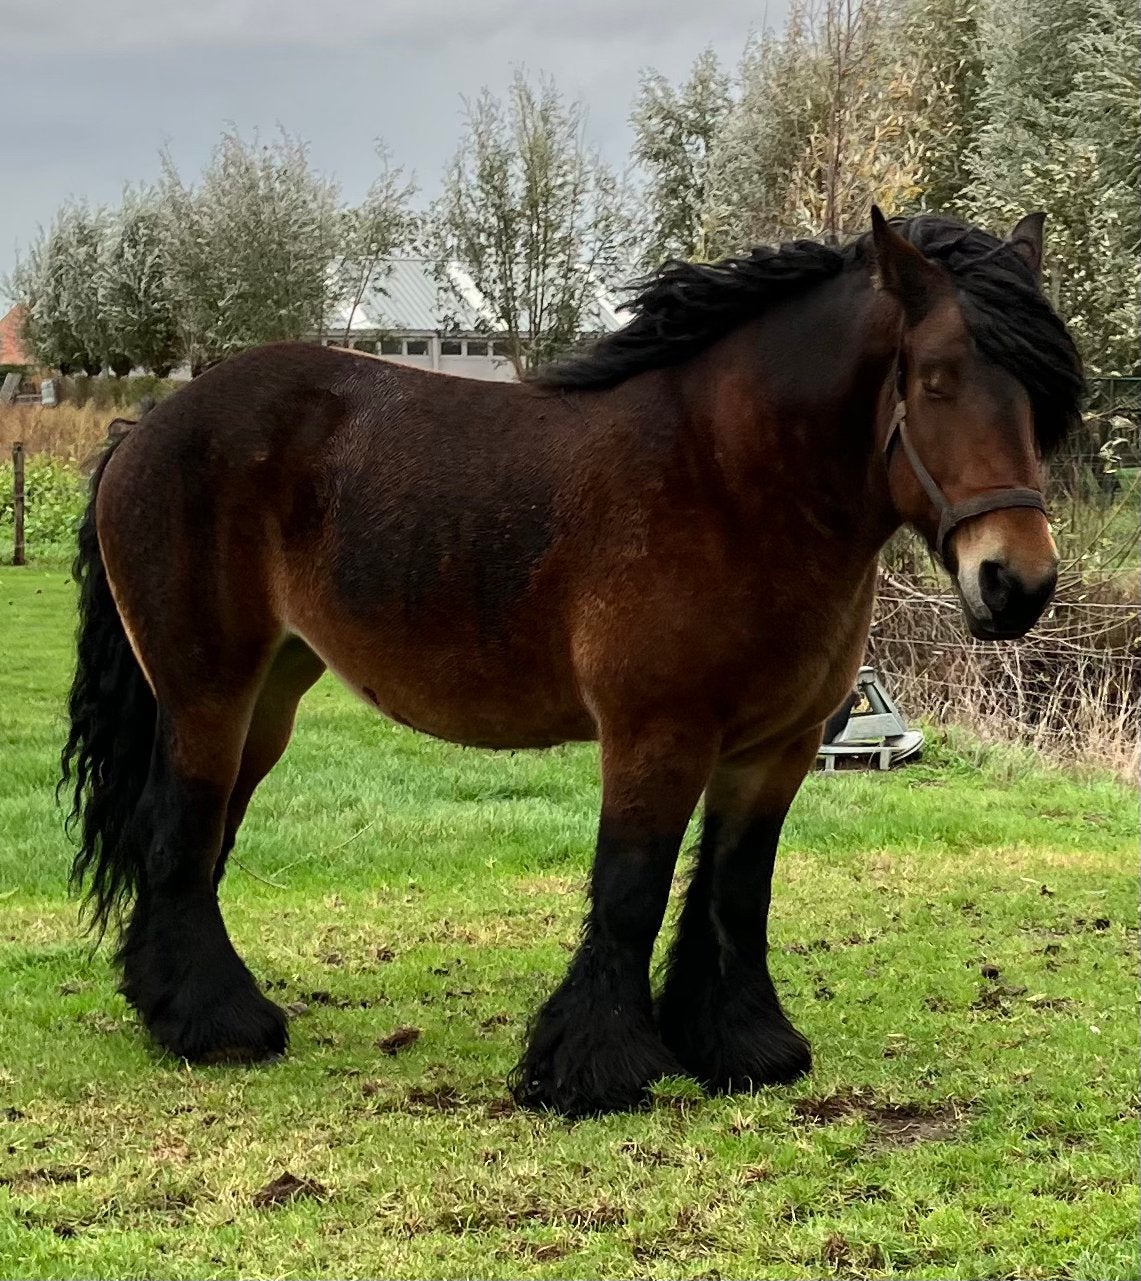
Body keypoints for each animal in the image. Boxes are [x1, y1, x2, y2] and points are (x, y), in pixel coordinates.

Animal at [61, 209, 1082, 1116]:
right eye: (938, 378)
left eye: (1043, 396)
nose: (1015, 582)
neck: (728, 481)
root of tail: (144, 429)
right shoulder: (655, 735)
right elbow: (631, 888)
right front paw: (596, 1068)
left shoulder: (776, 749)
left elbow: (734, 890)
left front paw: (740, 1046)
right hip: (208, 693)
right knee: (180, 834)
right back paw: (218, 1026)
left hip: (266, 699)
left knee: (197, 839)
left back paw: (168, 1004)